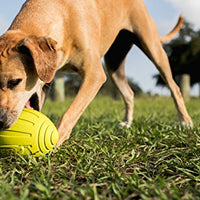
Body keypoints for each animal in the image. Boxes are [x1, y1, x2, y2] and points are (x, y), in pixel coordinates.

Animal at [0, 0, 192, 147]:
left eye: (15, 81)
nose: (0, 122)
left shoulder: (94, 75)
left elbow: (70, 113)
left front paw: (55, 141)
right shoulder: (48, 78)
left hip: (152, 46)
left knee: (174, 87)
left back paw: (185, 121)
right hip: (114, 64)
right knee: (129, 93)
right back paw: (127, 123)